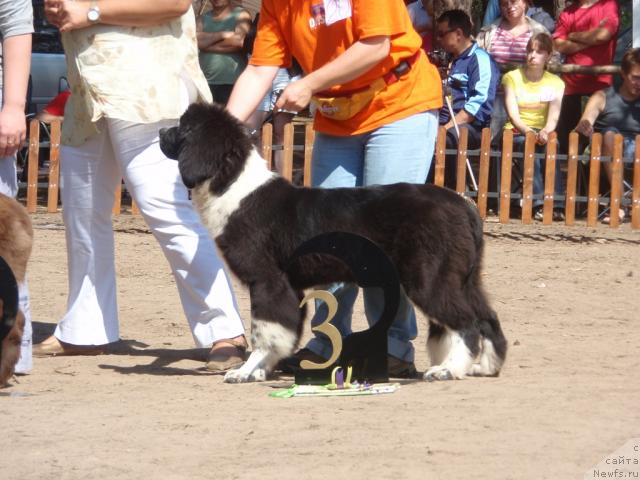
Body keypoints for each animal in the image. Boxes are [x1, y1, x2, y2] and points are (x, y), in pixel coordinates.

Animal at [159, 104, 504, 382]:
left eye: (183, 128)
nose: (161, 131)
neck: (233, 186)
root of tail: (464, 206)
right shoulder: (291, 286)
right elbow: (282, 330)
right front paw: (260, 371)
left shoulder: (268, 280)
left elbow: (265, 331)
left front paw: (245, 371)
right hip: (463, 276)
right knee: (486, 316)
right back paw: (485, 366)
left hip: (429, 278)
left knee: (466, 322)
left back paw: (448, 369)